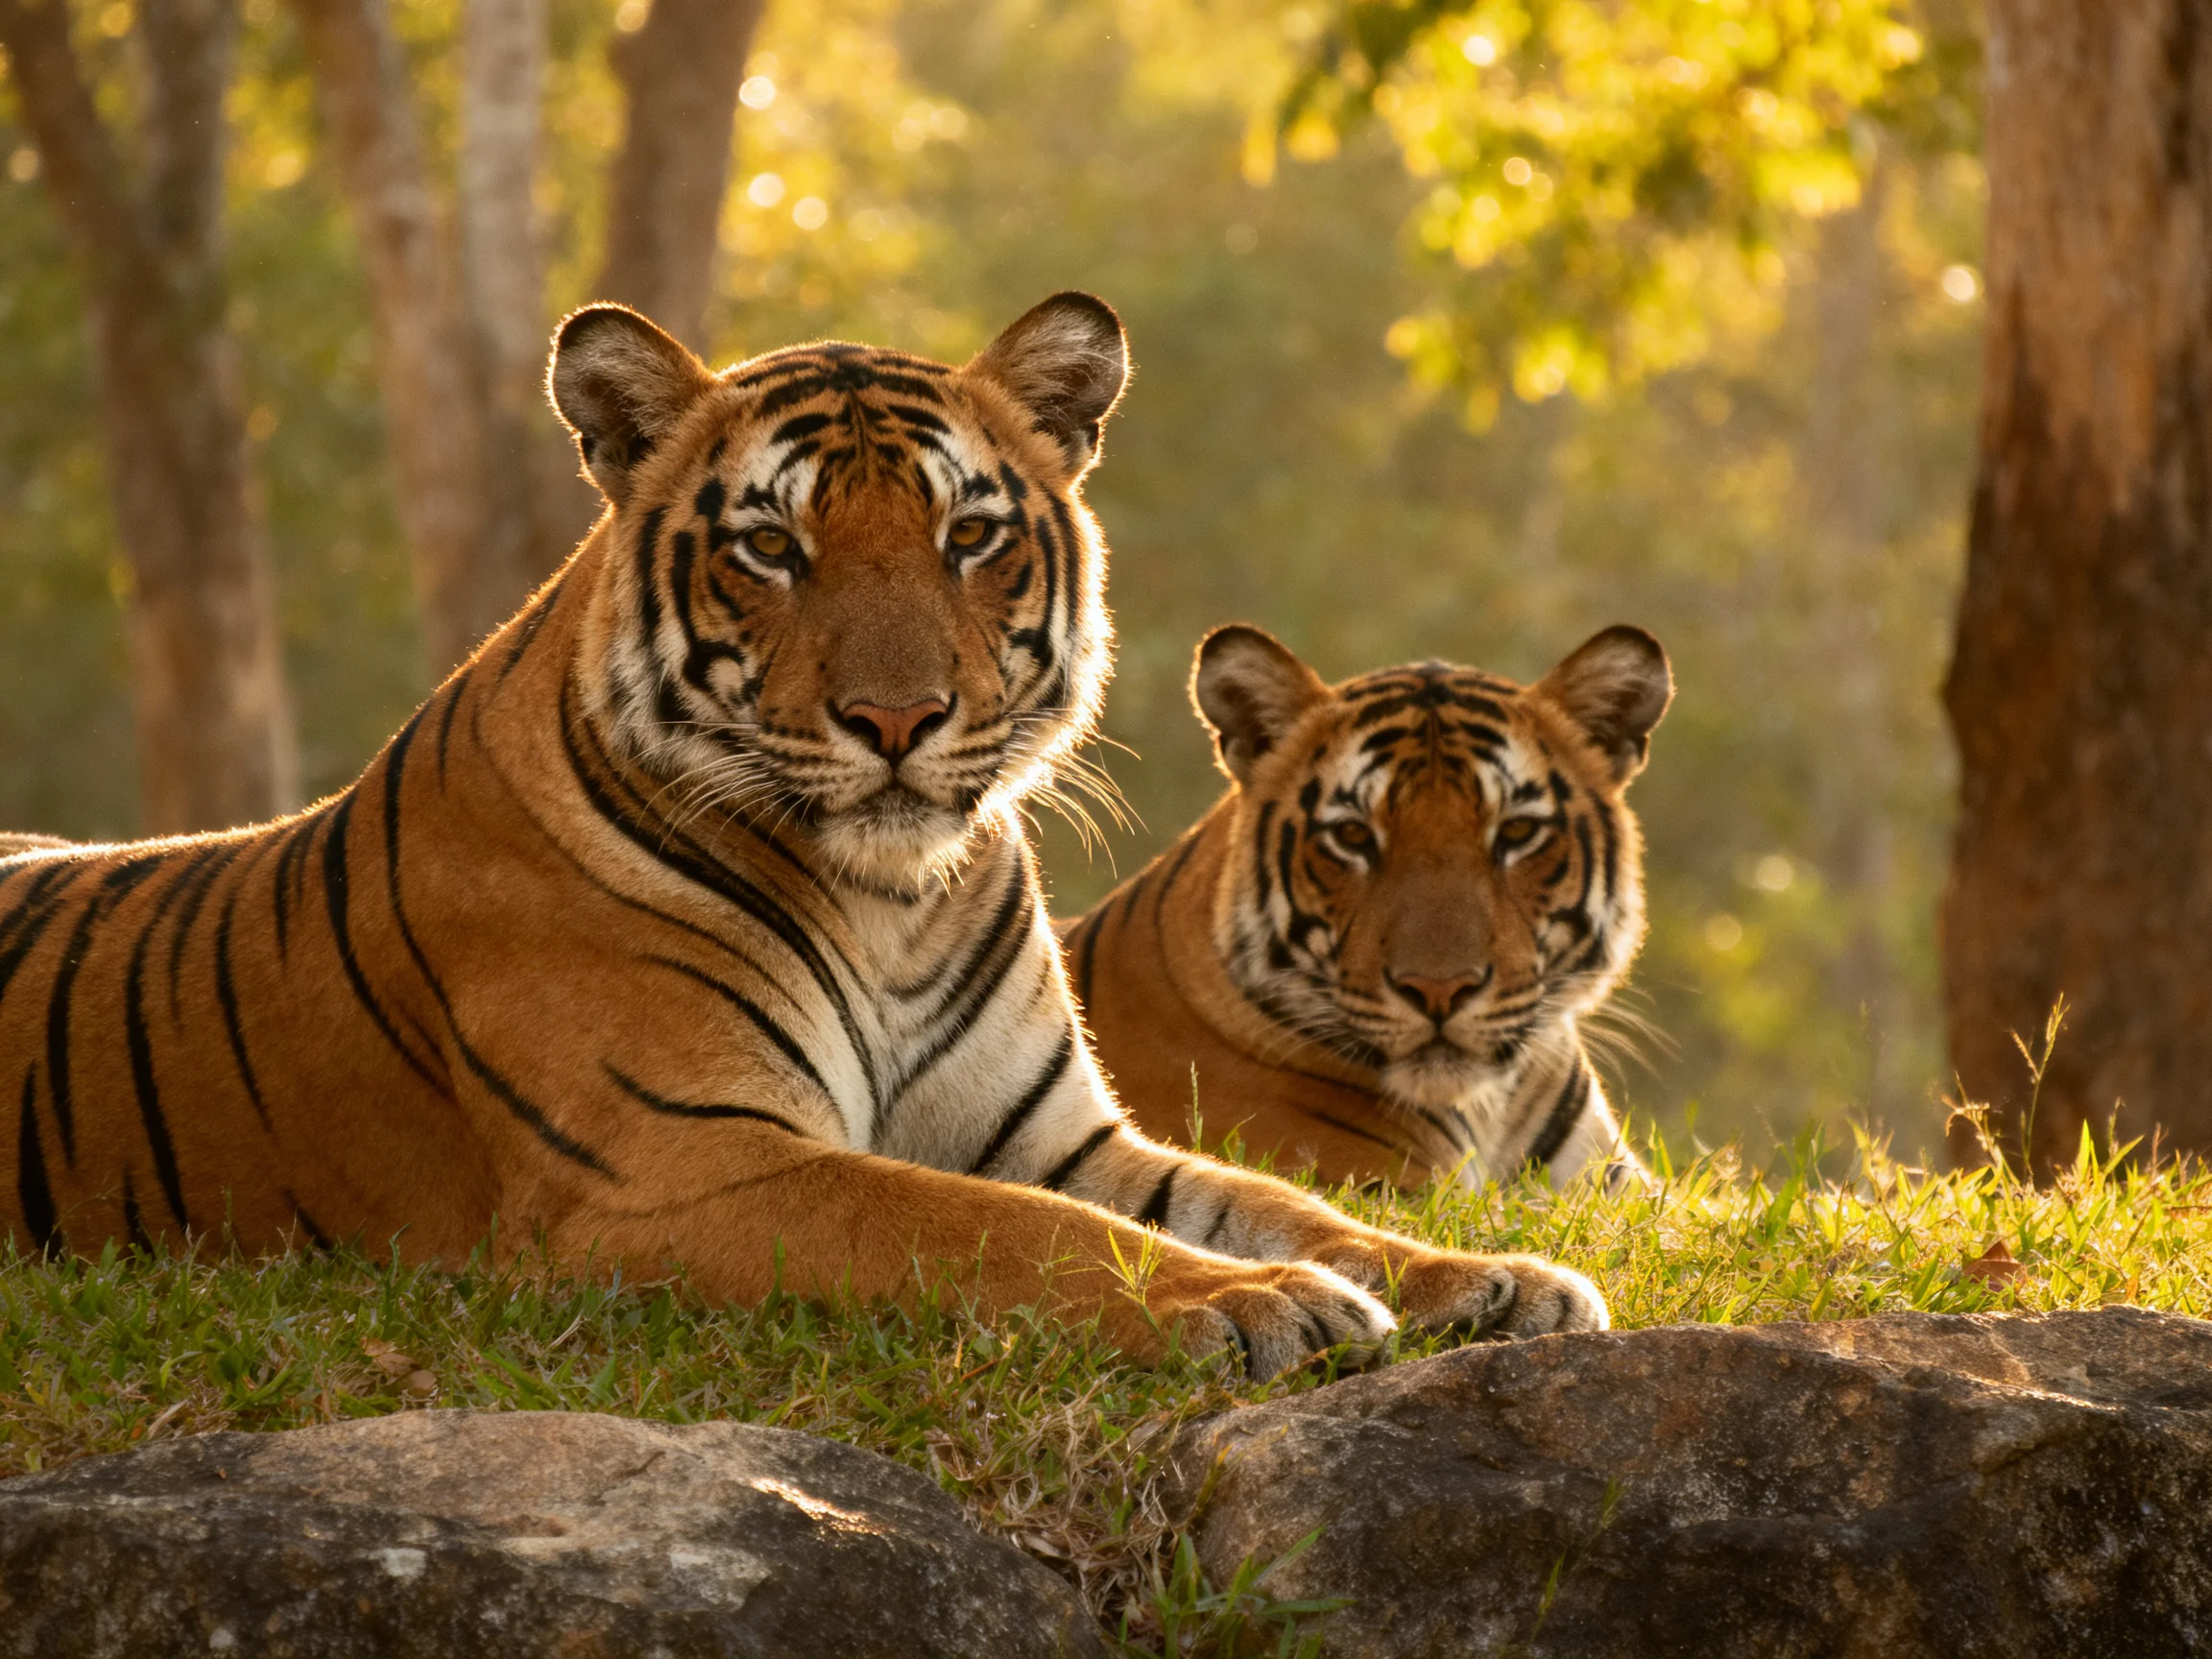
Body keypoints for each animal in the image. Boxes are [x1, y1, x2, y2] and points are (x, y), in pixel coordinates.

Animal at [0, 293, 1606, 1378]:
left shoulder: (1062, 1135)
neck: (894, 899)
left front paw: (1488, 1279)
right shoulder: (681, 1166)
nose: (897, 718)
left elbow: (1286, 1203)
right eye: (771, 547)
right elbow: (981, 1229)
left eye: (971, 536)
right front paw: (1253, 1308)